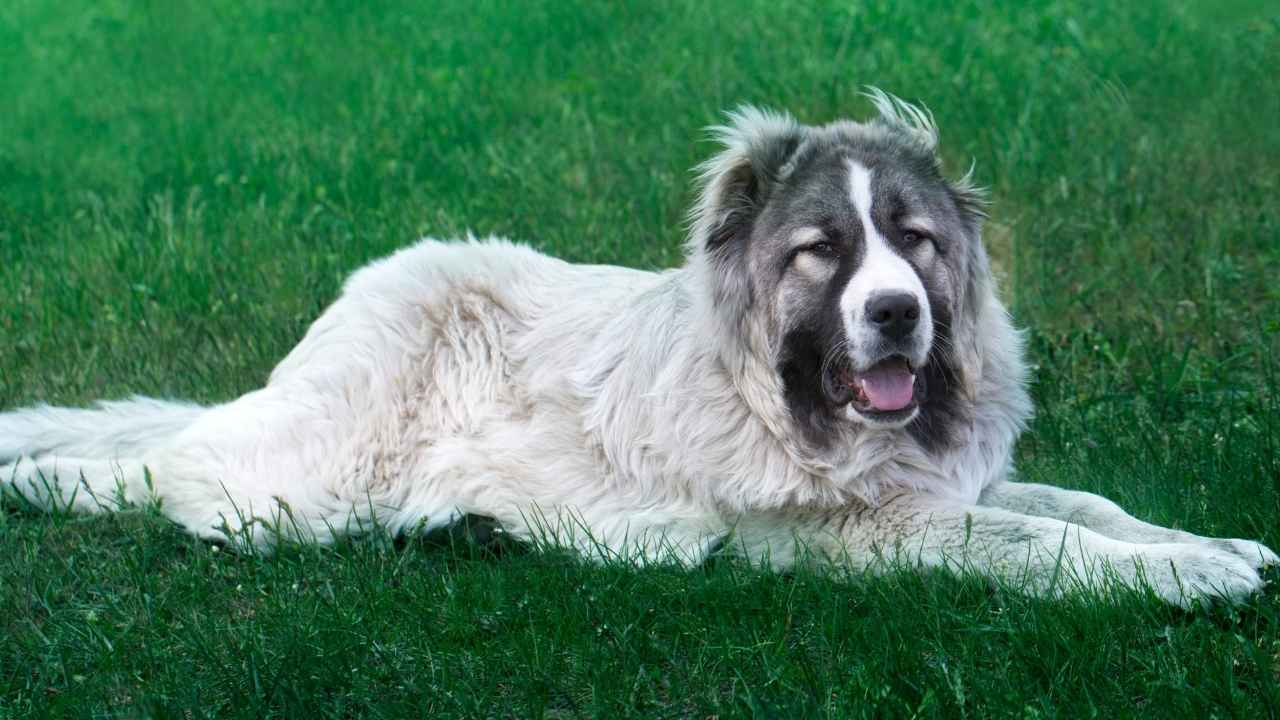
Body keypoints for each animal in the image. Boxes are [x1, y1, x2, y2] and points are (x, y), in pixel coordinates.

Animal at [0, 90, 1274, 604]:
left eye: (913, 241)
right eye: (820, 250)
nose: (897, 312)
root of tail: (365, 291)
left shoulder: (946, 486)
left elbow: (1083, 507)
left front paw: (1211, 546)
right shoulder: (860, 533)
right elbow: (1035, 542)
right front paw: (1188, 578)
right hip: (301, 480)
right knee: (161, 470)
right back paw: (39, 479)